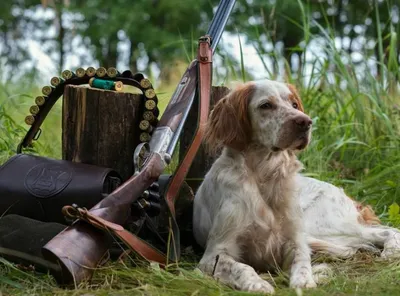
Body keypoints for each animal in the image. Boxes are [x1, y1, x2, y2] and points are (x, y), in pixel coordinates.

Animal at [192, 79, 400, 294]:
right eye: (266, 105)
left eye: (294, 105)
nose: (306, 122)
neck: (265, 176)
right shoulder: (215, 253)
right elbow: (242, 267)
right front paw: (257, 283)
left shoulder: (295, 240)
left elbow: (302, 260)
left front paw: (304, 281)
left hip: (322, 227)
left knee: (389, 230)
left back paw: (391, 251)